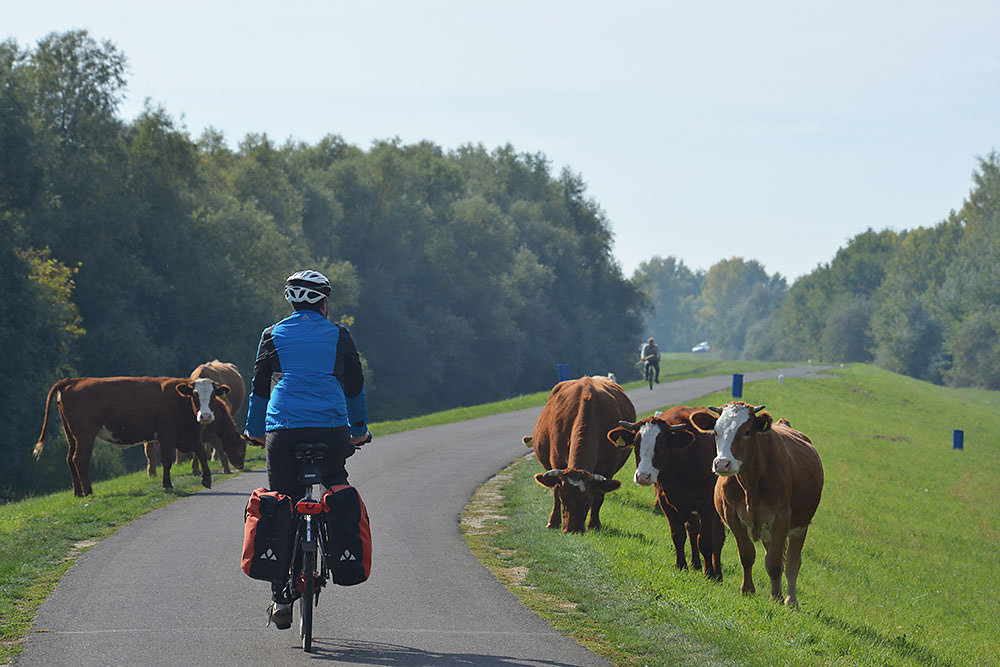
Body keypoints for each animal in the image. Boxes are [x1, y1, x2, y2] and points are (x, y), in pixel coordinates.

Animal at [35, 376, 248, 496]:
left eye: (212, 395)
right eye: (195, 395)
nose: (205, 416)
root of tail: (73, 381)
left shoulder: (192, 434)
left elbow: (201, 453)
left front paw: (207, 479)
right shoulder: (167, 434)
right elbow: (167, 460)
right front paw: (167, 485)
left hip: (71, 436)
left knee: (69, 459)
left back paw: (78, 492)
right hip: (85, 435)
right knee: (79, 459)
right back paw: (88, 491)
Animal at [520, 378, 636, 536]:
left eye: (587, 500)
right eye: (564, 499)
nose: (573, 530)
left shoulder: (608, 469)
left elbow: (599, 496)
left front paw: (594, 525)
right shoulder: (556, 462)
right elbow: (555, 491)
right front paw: (553, 522)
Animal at [604, 404, 724, 580]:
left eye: (661, 446)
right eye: (636, 445)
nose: (643, 476)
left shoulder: (707, 504)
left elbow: (706, 540)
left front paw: (709, 573)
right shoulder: (666, 503)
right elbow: (678, 535)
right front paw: (681, 566)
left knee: (717, 537)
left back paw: (718, 574)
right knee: (692, 529)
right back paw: (695, 563)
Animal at [692, 402, 824, 612]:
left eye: (746, 431)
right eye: (716, 431)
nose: (722, 464)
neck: (750, 485)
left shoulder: (782, 518)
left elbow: (775, 563)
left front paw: (776, 598)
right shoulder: (731, 515)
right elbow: (747, 555)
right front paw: (747, 590)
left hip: (800, 526)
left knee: (792, 563)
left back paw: (790, 600)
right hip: (768, 533)